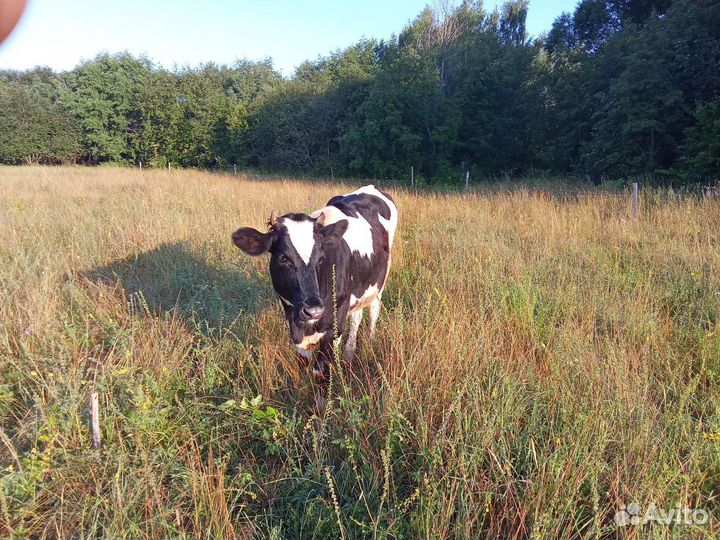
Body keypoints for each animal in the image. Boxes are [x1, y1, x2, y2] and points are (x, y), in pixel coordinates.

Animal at [231, 185, 398, 384]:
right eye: (283, 258)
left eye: (321, 258)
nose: (314, 311)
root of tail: (371, 188)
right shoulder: (294, 322)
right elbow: (303, 362)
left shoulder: (336, 322)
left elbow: (320, 370)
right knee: (356, 317)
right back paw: (349, 353)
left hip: (379, 284)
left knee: (373, 312)